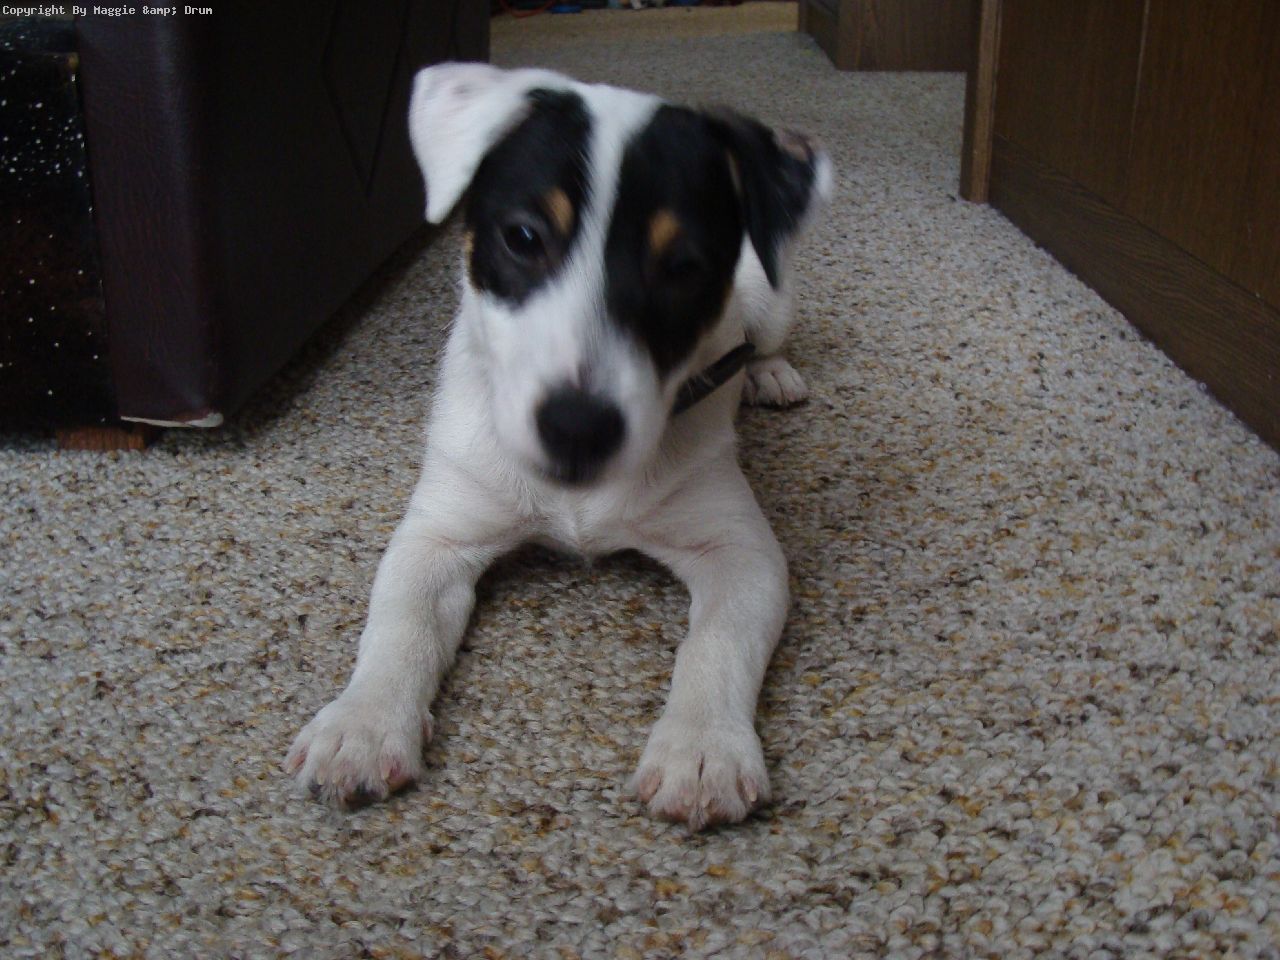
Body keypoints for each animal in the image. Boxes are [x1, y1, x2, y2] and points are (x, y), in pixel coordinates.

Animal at [284, 62, 831, 830]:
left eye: (684, 265)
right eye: (522, 236)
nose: (578, 427)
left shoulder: (739, 551)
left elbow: (716, 644)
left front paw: (702, 752)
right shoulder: (440, 535)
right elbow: (398, 627)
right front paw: (361, 726)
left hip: (770, 297)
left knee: (765, 339)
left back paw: (769, 373)